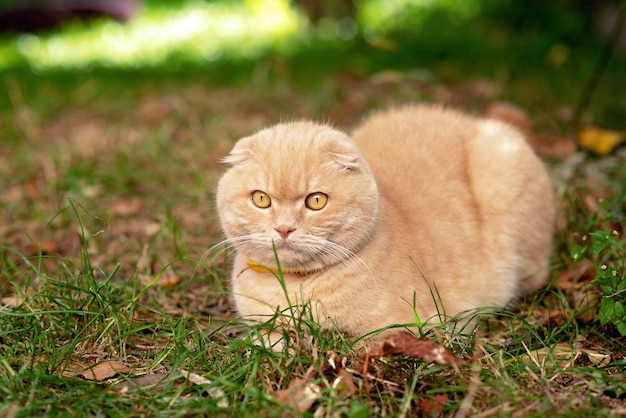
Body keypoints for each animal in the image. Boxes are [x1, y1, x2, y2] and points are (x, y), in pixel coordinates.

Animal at [213, 104, 552, 342]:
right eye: (261, 199)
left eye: (316, 201)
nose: (284, 228)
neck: (295, 288)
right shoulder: (261, 328)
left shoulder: (406, 329)